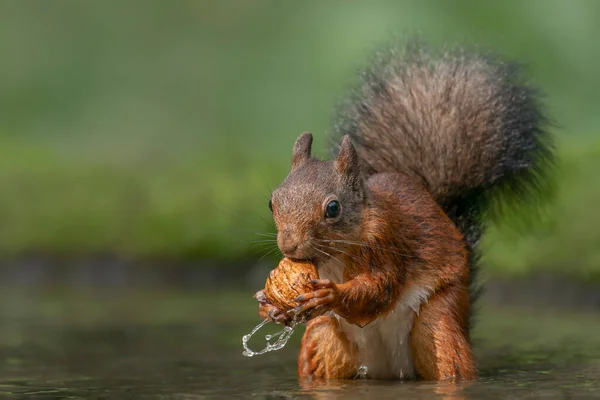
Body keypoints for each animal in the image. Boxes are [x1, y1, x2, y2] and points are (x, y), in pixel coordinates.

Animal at [253, 39, 552, 382]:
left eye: (333, 208)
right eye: (272, 202)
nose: (288, 245)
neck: (335, 256)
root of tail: (388, 368)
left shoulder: (387, 241)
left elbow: (378, 290)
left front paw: (332, 295)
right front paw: (267, 304)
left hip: (438, 322)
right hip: (323, 338)